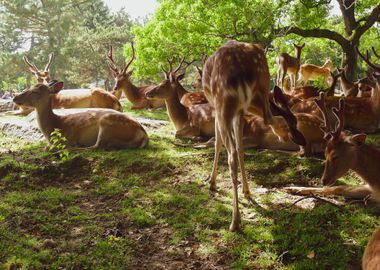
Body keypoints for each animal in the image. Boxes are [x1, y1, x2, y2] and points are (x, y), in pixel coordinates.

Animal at [202, 41, 306, 231]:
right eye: (294, 121)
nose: (303, 140)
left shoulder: (219, 109)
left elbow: (218, 143)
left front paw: (212, 183)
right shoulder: (240, 112)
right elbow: (241, 149)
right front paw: (247, 191)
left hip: (223, 102)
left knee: (232, 154)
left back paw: (235, 221)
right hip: (262, 84)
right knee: (266, 118)